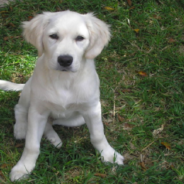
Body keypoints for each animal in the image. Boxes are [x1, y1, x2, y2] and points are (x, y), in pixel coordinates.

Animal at [0, 10, 124, 182]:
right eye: (53, 36)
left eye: (80, 38)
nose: (65, 60)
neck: (64, 80)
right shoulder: (37, 111)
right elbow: (32, 144)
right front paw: (23, 167)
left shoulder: (92, 109)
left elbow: (98, 135)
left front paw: (109, 155)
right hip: (29, 91)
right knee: (20, 108)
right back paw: (21, 128)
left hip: (77, 119)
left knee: (50, 123)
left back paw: (54, 139)